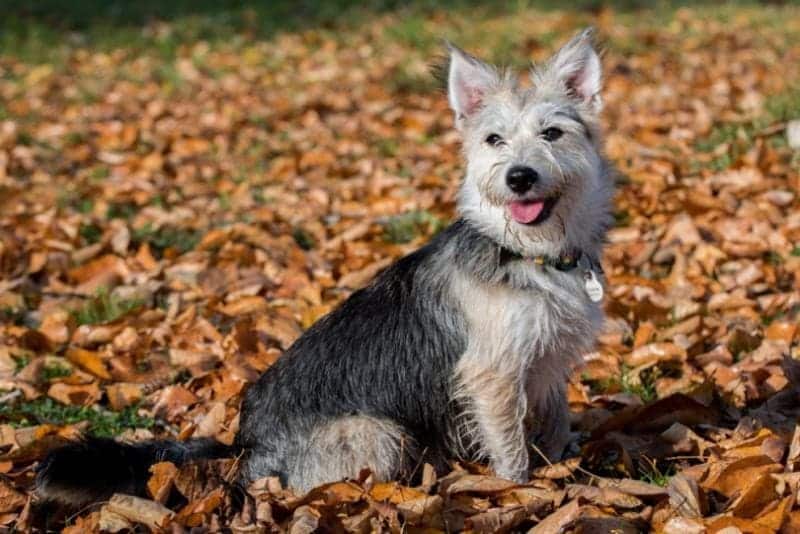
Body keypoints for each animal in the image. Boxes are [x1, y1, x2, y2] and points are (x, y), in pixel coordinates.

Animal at [36, 29, 612, 506]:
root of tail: (242, 447)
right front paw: (526, 493)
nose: (519, 177)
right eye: (494, 140)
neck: (527, 252)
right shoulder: (493, 379)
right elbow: (512, 455)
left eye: (553, 134)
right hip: (380, 433)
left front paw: (565, 472)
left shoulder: (546, 367)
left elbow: (555, 427)